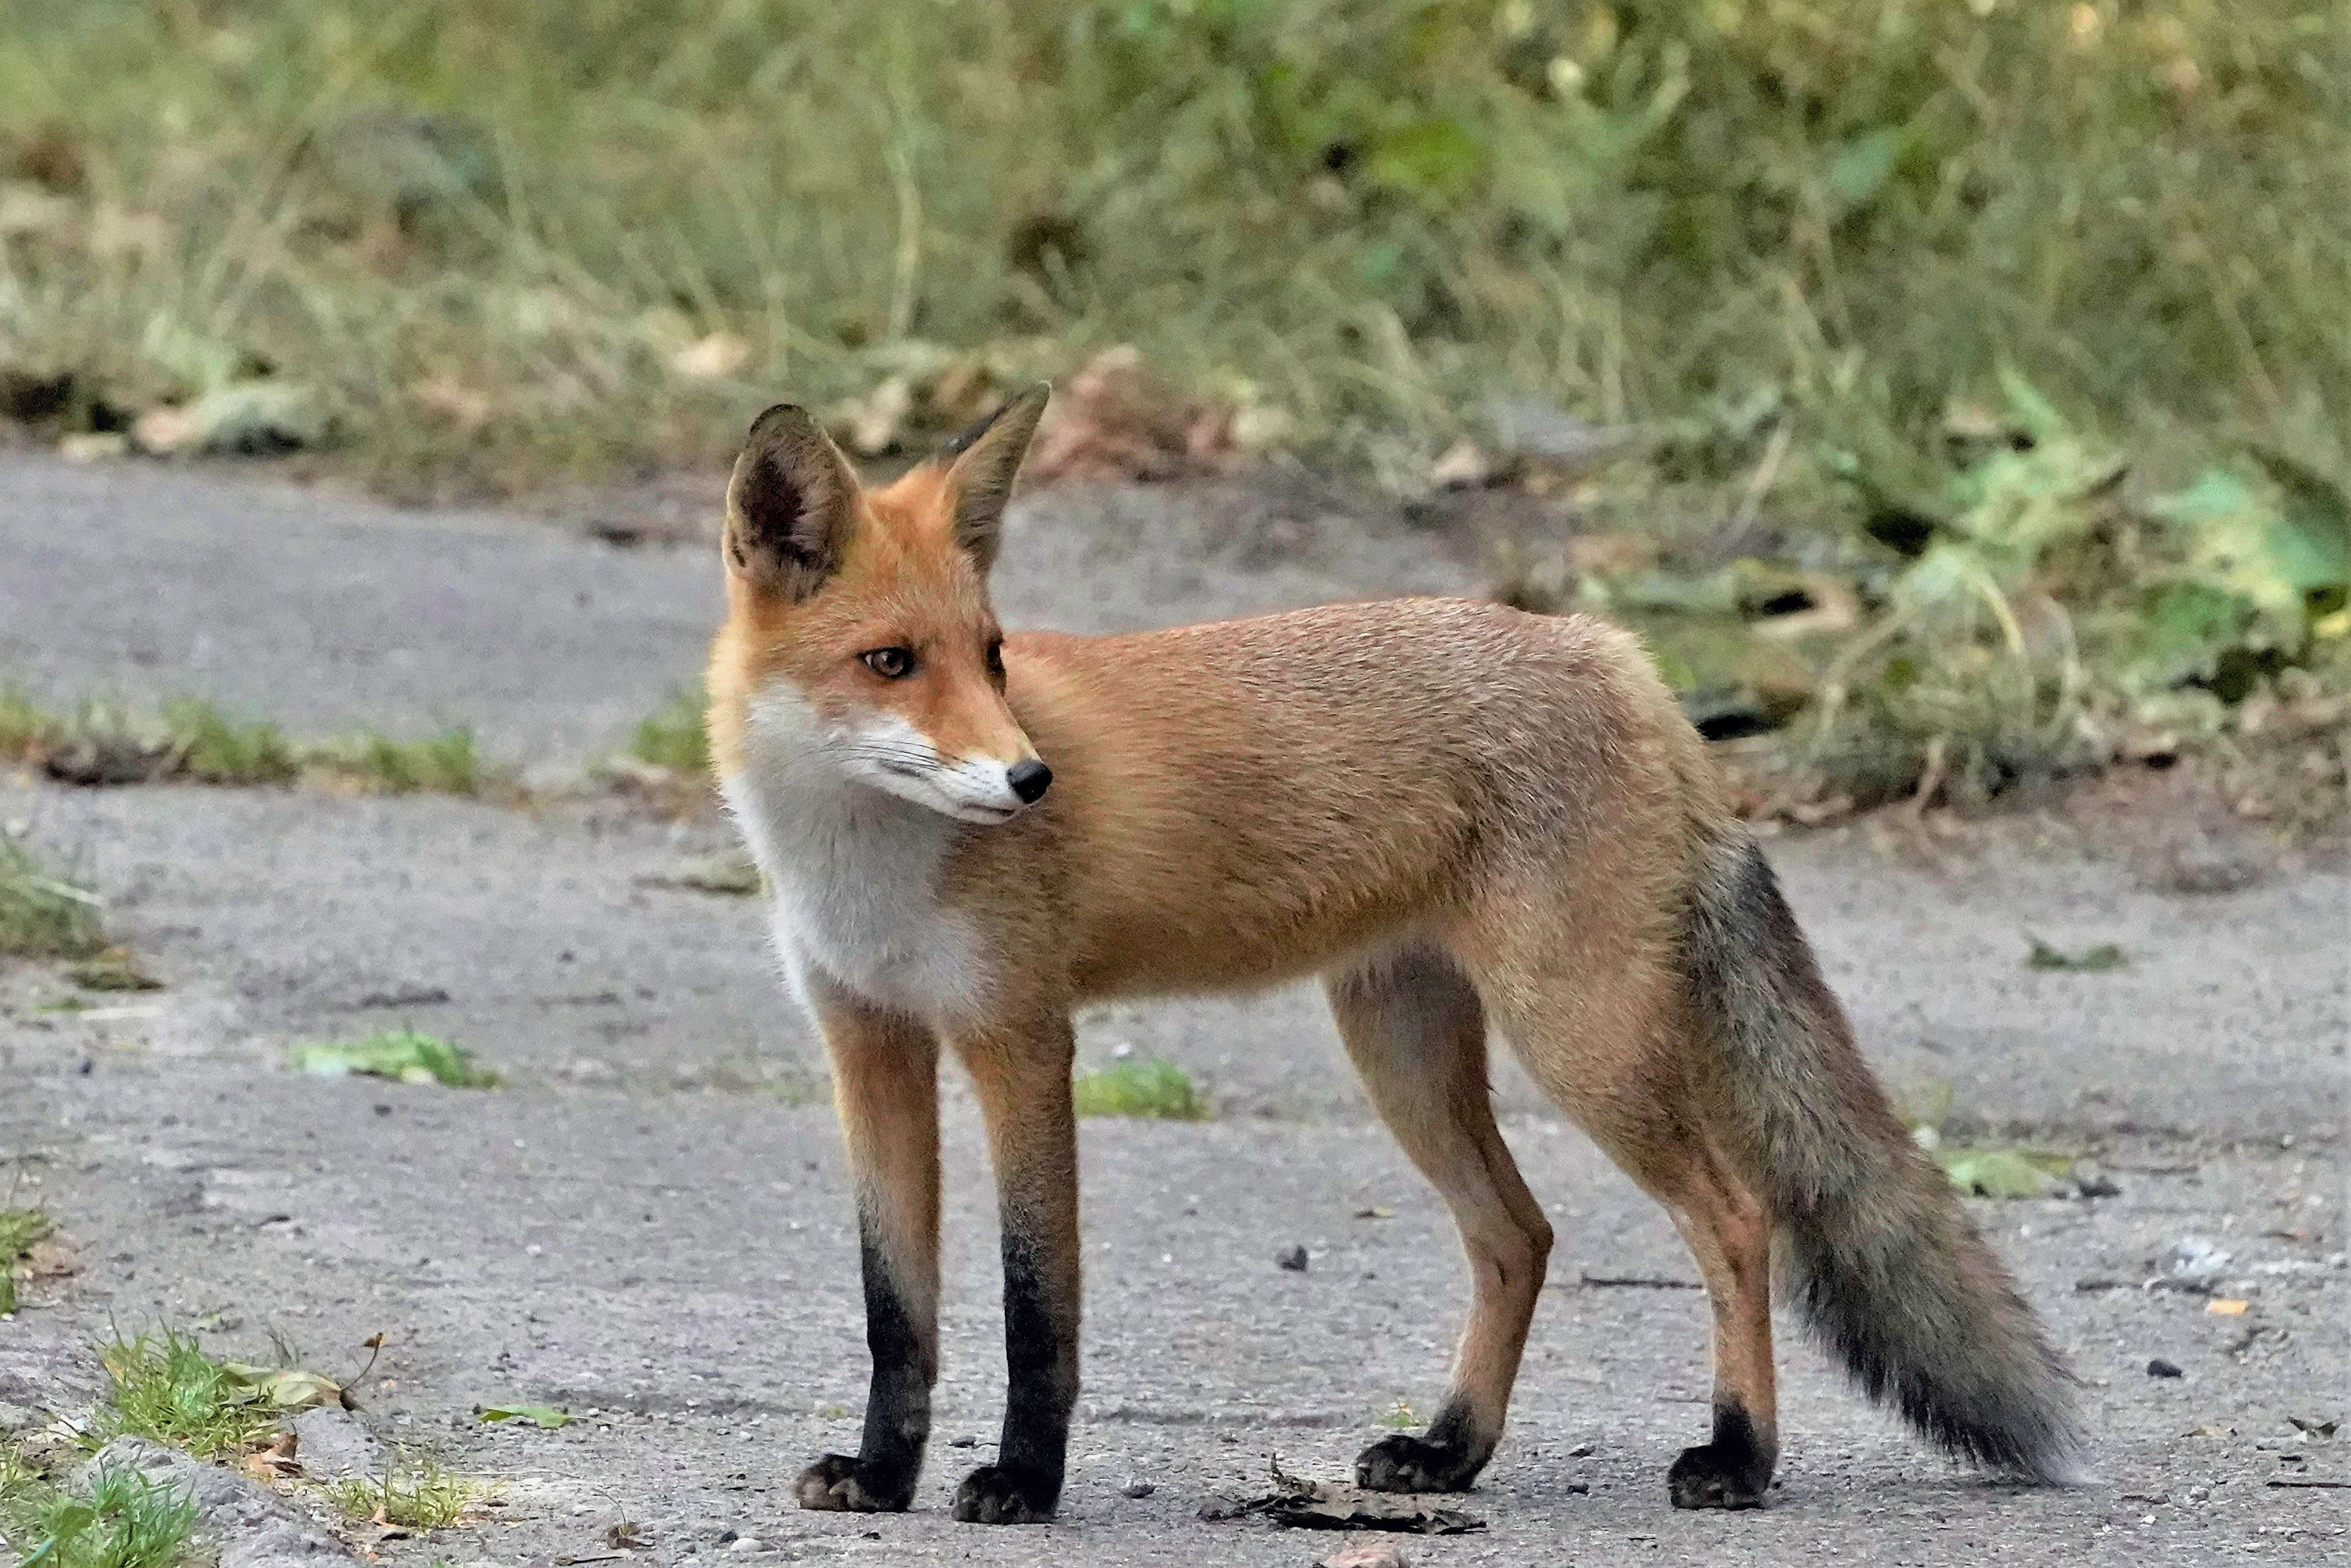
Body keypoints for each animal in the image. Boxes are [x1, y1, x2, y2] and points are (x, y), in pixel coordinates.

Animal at [704, 384, 2085, 1525]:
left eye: (990, 657)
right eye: (891, 662)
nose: (1032, 780)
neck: (862, 869)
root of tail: (1610, 652)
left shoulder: (1020, 1041)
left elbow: (1036, 1305)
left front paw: (1022, 1486)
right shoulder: (870, 1044)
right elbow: (897, 1310)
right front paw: (882, 1477)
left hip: (1576, 1039)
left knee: (1738, 1220)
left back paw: (1738, 1457)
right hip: (1403, 1051)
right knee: (1519, 1237)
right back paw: (1450, 1451)